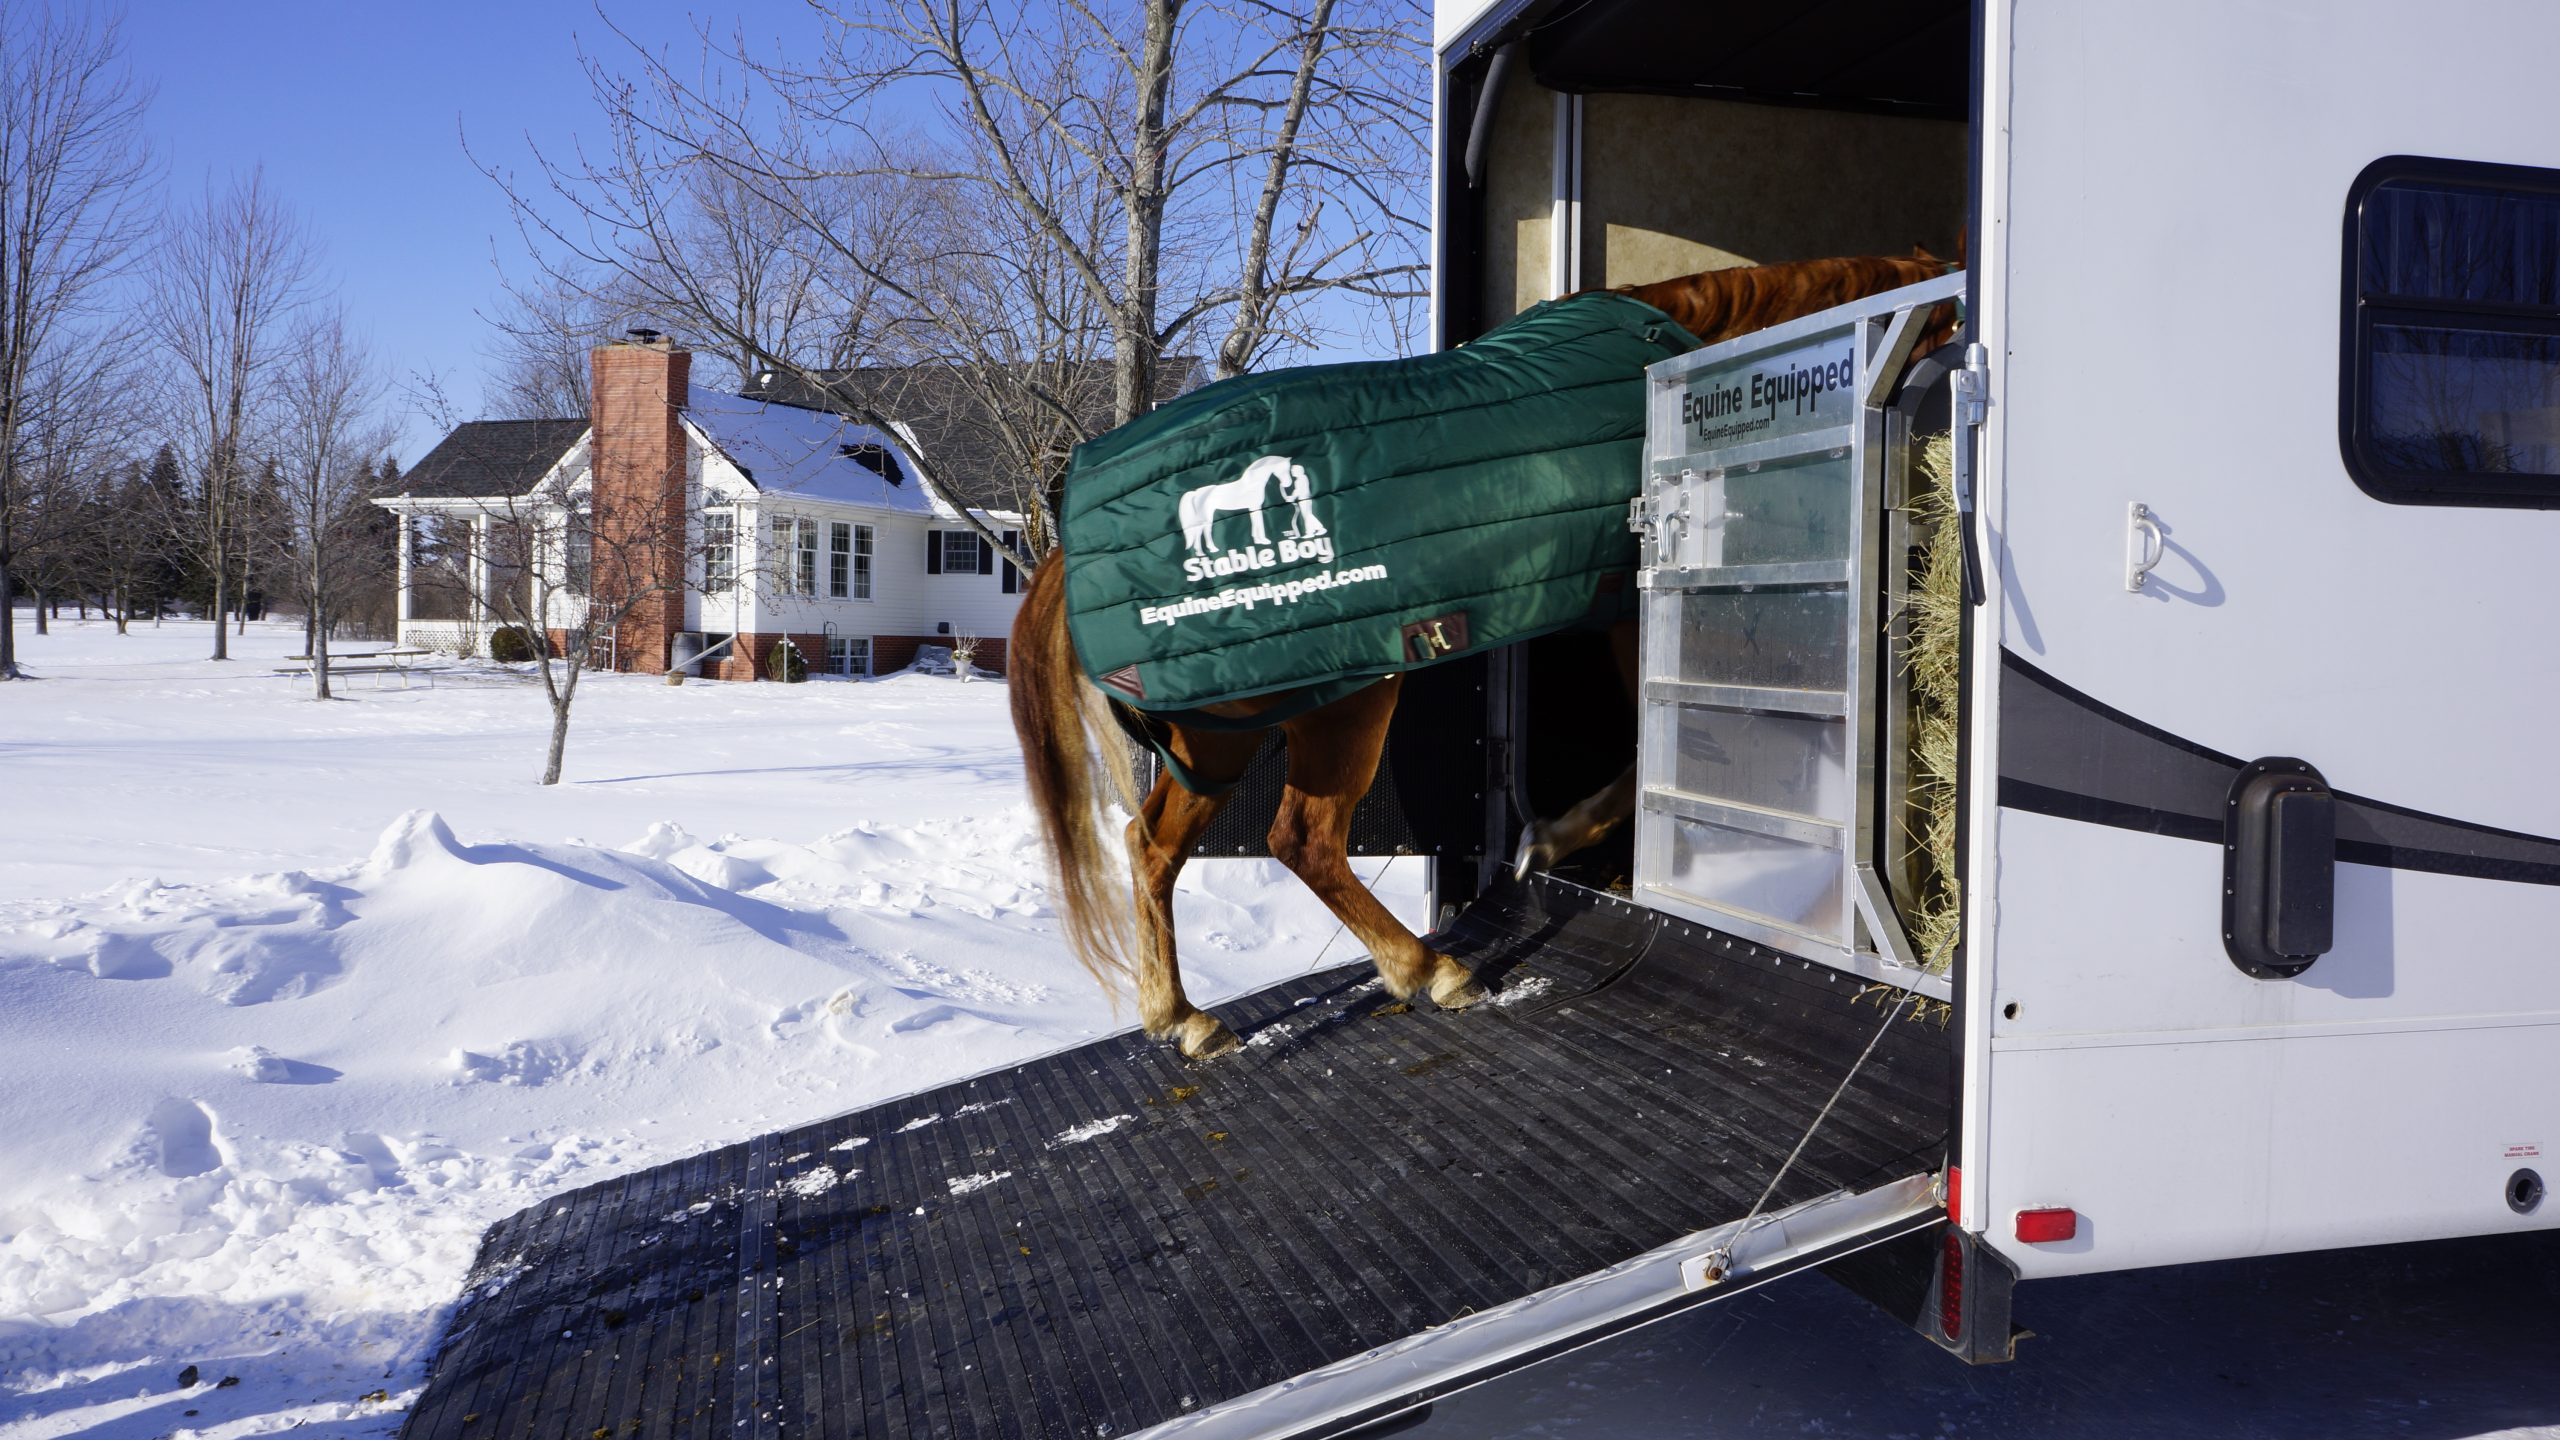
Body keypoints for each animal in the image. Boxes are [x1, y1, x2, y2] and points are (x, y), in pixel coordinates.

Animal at [1012, 251, 1959, 1059]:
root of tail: (1075, 544)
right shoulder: (1631, 609)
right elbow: (1638, 750)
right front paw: (1557, 835)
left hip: (1217, 737)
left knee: (1151, 847)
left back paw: (1185, 1019)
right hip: (1340, 701)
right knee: (1302, 839)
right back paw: (1431, 972)